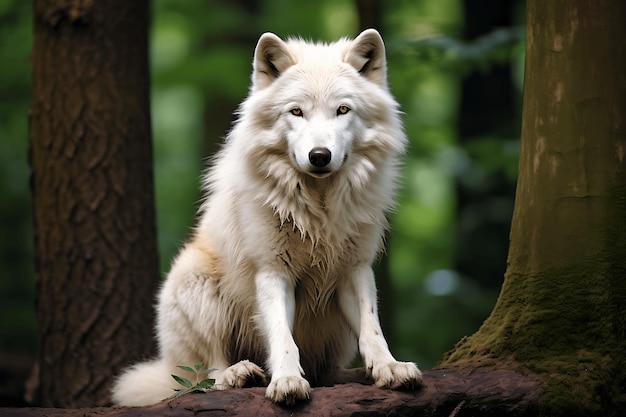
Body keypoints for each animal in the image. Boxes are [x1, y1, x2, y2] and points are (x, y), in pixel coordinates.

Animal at [113, 29, 424, 406]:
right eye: (296, 111)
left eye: (342, 110)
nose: (319, 156)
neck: (318, 208)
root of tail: (167, 365)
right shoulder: (273, 271)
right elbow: (282, 337)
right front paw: (287, 381)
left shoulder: (355, 269)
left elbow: (372, 329)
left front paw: (388, 368)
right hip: (195, 281)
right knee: (206, 374)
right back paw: (239, 374)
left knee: (326, 372)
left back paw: (355, 375)